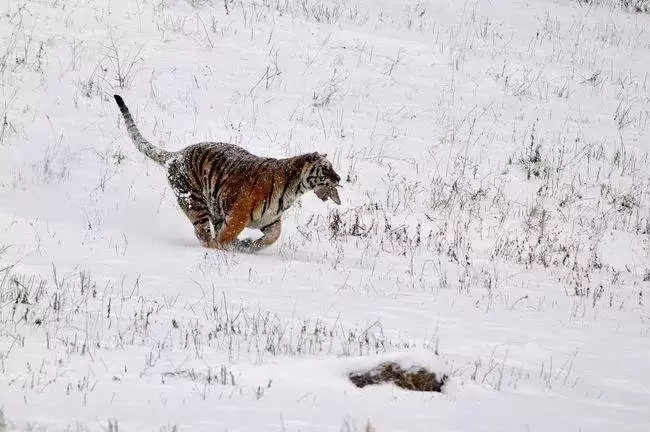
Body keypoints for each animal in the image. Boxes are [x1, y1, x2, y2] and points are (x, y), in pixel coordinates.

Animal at [113, 93, 342, 251]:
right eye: (326, 169)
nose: (339, 178)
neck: (293, 189)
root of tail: (176, 155)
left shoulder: (270, 219)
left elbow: (274, 235)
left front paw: (249, 245)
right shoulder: (238, 214)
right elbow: (227, 235)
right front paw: (232, 247)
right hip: (195, 202)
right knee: (204, 234)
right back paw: (215, 247)